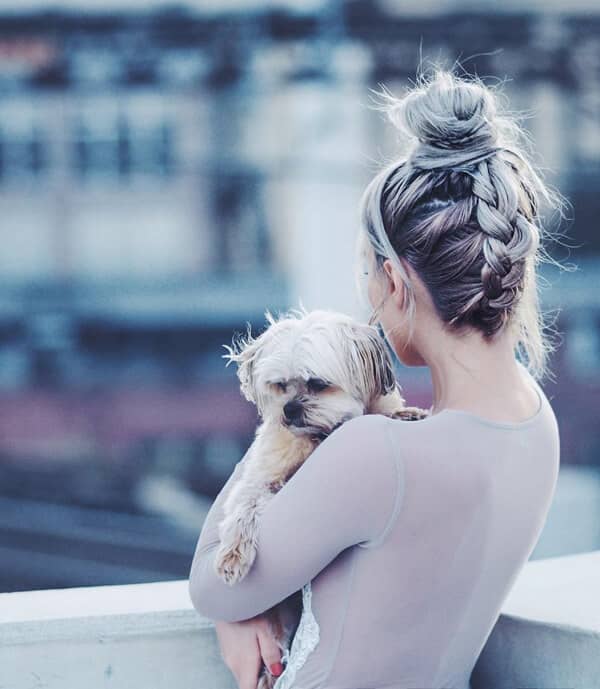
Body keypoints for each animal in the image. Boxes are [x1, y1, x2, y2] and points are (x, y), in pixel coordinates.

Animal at [213, 308, 424, 688]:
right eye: (280, 385)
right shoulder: (260, 477)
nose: (289, 410)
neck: (320, 436)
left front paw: (402, 413)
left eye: (317, 384)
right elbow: (246, 504)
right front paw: (233, 555)